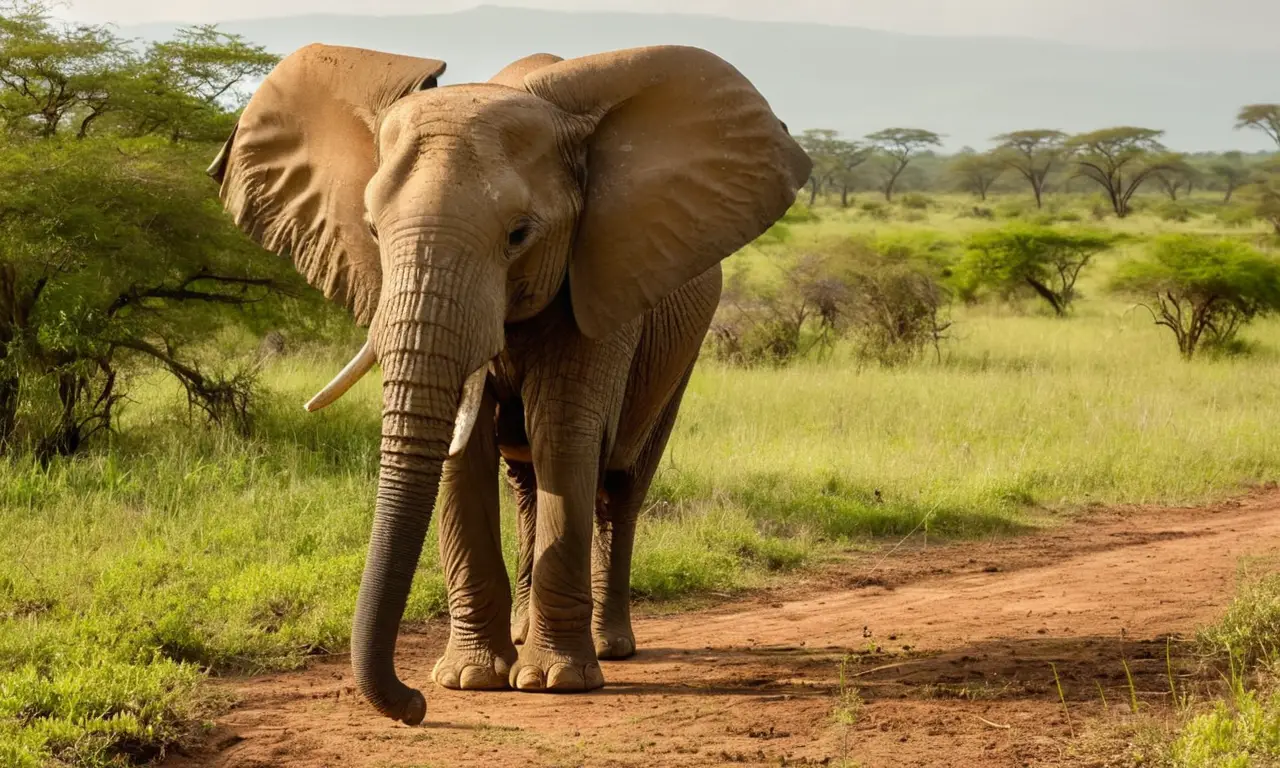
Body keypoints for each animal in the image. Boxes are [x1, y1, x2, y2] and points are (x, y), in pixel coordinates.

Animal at [207, 42, 810, 725]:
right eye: (371, 230)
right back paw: (525, 632)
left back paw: (610, 645)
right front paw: (469, 680)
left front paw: (556, 682)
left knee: (620, 483)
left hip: (682, 347)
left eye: (520, 234)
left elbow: (565, 433)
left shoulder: (598, 279)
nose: (413, 706)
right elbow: (464, 452)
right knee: (526, 483)